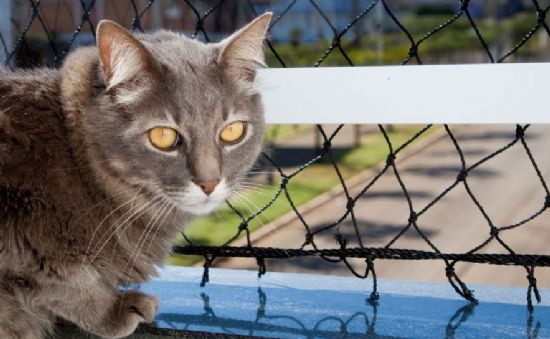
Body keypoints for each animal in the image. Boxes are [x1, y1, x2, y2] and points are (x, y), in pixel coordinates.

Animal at [0, 11, 272, 338]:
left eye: (233, 131)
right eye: (163, 137)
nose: (209, 183)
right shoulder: (27, 236)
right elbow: (67, 282)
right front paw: (114, 310)